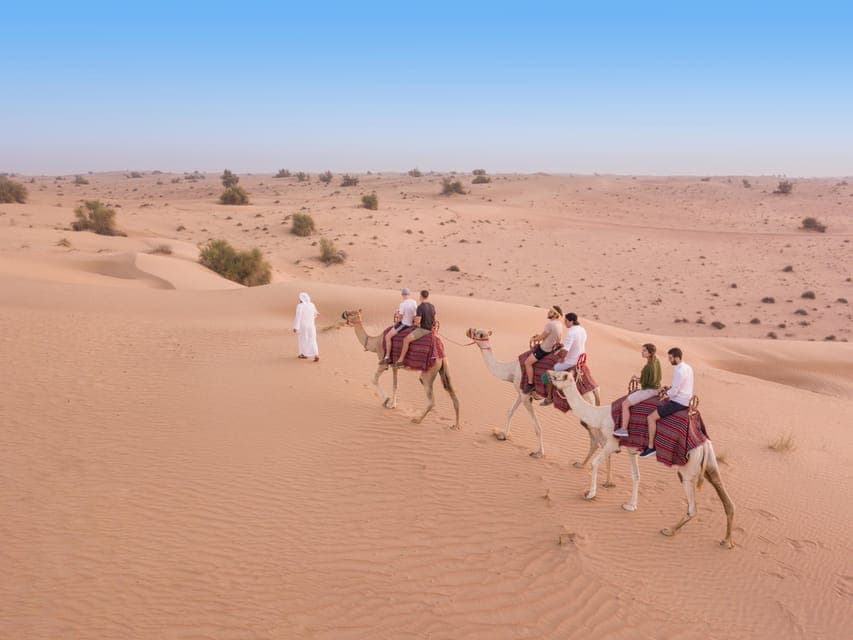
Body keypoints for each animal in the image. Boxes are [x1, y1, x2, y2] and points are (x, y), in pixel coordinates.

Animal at [465, 328, 608, 475]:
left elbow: (537, 427)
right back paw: (580, 464)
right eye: (477, 331)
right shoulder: (522, 392)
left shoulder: (525, 396)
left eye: (480, 334)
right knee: (595, 440)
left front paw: (539, 453)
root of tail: (595, 388)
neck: (511, 370)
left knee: (600, 441)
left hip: (586, 403)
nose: (469, 330)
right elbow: (510, 412)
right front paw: (503, 436)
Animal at [547, 369, 735, 548]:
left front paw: (590, 494)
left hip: (688, 469)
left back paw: (669, 530)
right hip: (709, 462)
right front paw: (630, 505)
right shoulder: (631, 450)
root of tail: (703, 443)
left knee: (692, 507)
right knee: (726, 498)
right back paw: (727, 541)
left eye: (559, 376)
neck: (601, 415)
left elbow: (595, 463)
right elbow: (636, 476)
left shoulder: (613, 442)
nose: (548, 373)